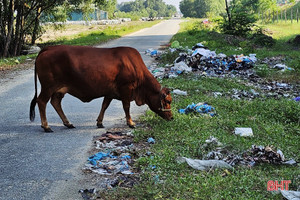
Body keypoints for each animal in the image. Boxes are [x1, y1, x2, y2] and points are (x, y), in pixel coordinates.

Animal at [29, 45, 173, 133]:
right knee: (41, 101)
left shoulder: (110, 92)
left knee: (55, 102)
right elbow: (126, 106)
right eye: (168, 101)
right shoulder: (126, 89)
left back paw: (68, 123)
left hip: (59, 90)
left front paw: (99, 122)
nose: (172, 117)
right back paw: (46, 126)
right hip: (48, 87)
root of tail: (49, 48)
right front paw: (131, 123)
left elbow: (104, 105)